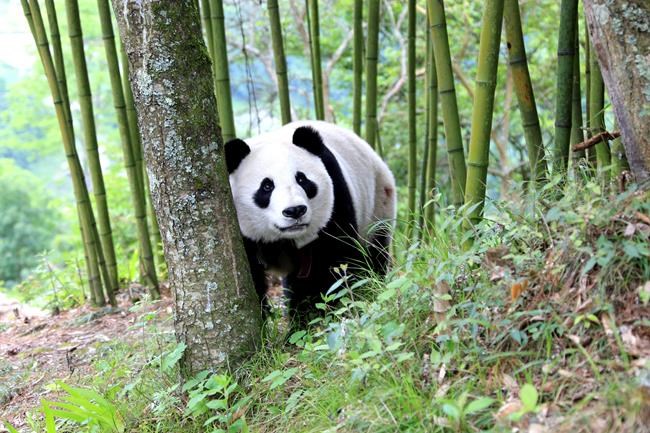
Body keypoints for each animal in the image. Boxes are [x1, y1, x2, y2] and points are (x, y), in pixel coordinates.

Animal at [225, 120, 396, 319]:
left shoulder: (335, 201)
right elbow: (251, 276)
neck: (283, 239)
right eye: (267, 186)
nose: (295, 211)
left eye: (302, 179)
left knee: (374, 252)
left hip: (378, 204)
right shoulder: (241, 233)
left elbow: (332, 265)